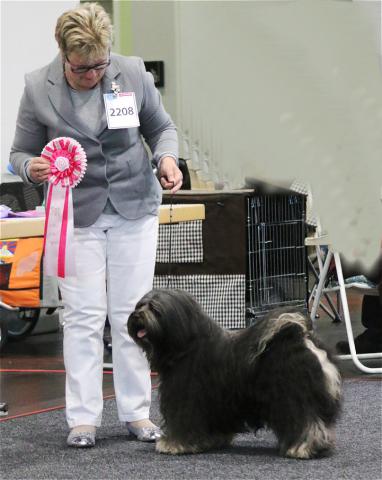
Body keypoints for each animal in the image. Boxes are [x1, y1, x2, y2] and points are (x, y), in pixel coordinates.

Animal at [127, 288, 340, 458]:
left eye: (154, 309)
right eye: (140, 305)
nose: (136, 315)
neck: (187, 345)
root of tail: (299, 337)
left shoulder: (186, 400)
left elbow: (183, 423)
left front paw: (173, 445)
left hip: (292, 399)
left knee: (306, 422)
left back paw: (304, 448)